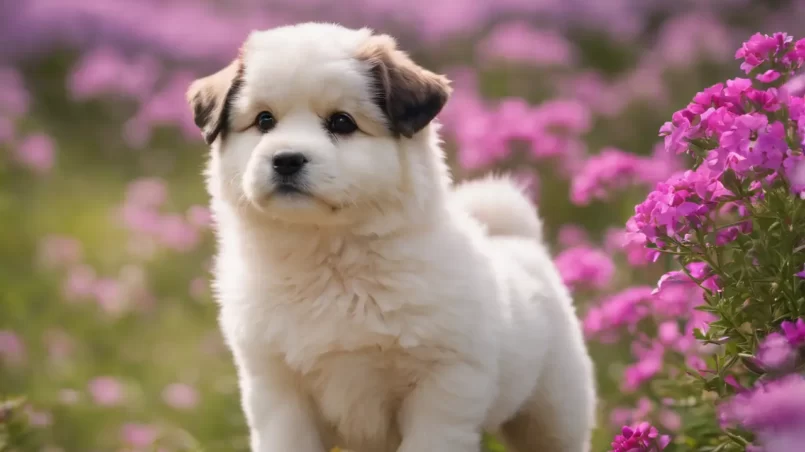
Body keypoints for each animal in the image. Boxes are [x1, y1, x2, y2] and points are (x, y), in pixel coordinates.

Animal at [185, 22, 592, 452]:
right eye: (264, 121)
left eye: (342, 123)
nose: (286, 159)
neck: (328, 260)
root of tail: (518, 240)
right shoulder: (277, 388)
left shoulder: (442, 384)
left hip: (553, 412)